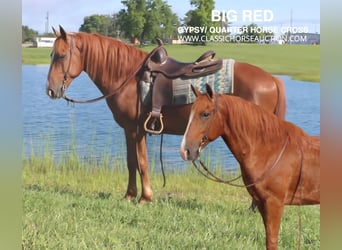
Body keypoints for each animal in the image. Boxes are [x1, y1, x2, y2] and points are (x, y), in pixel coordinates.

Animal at [45, 25, 286, 203]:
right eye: (52, 54)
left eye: (62, 56)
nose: (50, 90)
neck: (127, 77)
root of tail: (272, 79)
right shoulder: (129, 130)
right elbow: (131, 162)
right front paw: (129, 196)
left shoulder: (136, 129)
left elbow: (141, 162)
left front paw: (145, 198)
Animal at [180, 84, 320, 250]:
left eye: (205, 114)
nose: (185, 150)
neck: (270, 150)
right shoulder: (261, 203)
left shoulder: (274, 204)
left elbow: (272, 241)